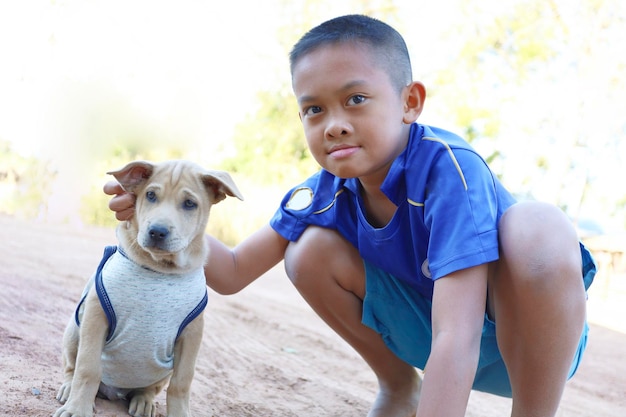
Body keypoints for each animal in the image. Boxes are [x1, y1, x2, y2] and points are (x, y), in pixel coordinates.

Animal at [54, 160, 243, 416]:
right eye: (151, 195)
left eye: (190, 204)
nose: (157, 231)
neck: (160, 269)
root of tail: (115, 392)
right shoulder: (95, 315)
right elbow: (87, 368)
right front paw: (77, 409)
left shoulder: (192, 333)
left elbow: (182, 383)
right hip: (75, 329)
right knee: (72, 367)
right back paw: (68, 389)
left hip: (163, 367)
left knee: (150, 389)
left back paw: (144, 400)